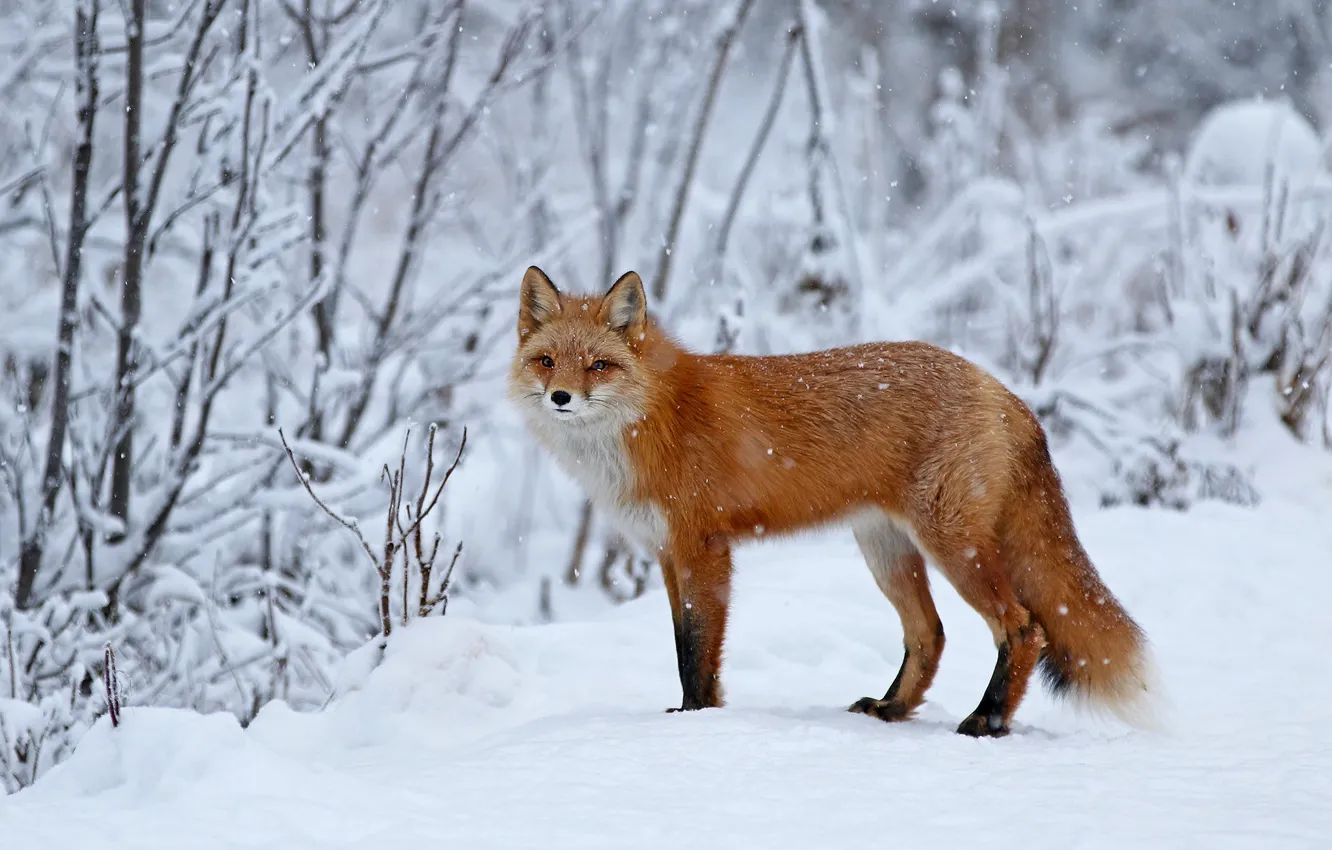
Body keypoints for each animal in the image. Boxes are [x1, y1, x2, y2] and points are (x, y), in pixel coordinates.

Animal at [508, 265, 1155, 737]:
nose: (561, 396)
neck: (652, 420)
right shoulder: (668, 553)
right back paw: (893, 710)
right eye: (547, 361)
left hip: (953, 546)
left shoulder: (703, 548)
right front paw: (705, 714)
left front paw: (694, 721)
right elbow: (687, 647)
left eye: (599, 365)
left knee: (1023, 628)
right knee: (930, 634)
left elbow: (695, 650)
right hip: (885, 549)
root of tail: (1006, 392)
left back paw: (986, 720)